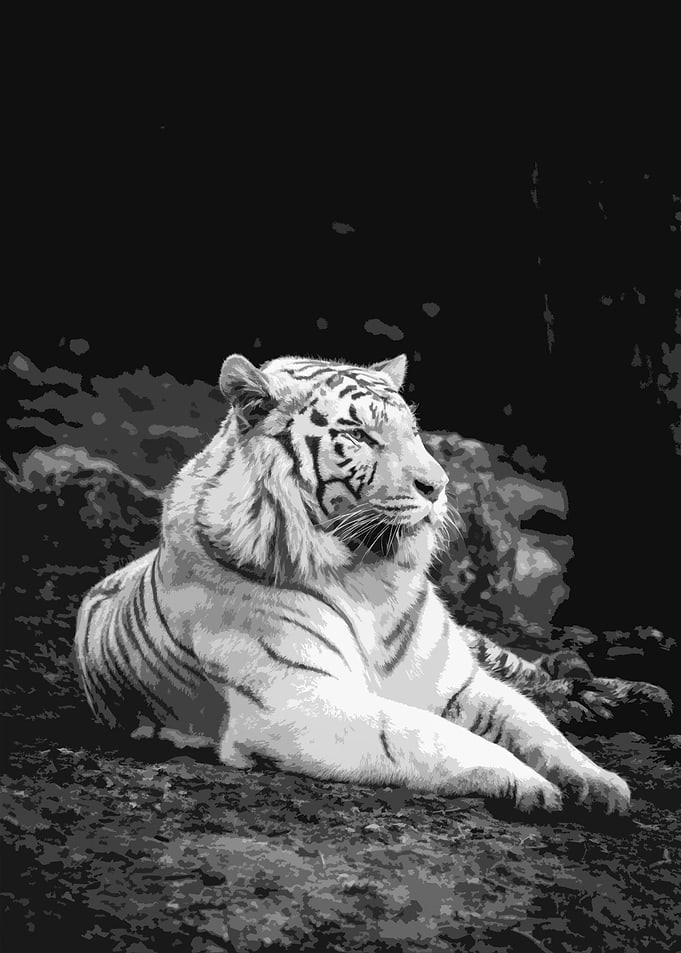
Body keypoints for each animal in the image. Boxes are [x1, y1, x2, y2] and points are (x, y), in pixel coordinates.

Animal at [73, 353, 631, 814]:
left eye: (414, 432)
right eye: (361, 436)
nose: (438, 486)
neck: (370, 577)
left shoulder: (456, 681)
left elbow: (532, 725)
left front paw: (600, 782)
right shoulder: (297, 701)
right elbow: (427, 734)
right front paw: (532, 785)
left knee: (531, 674)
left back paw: (604, 695)